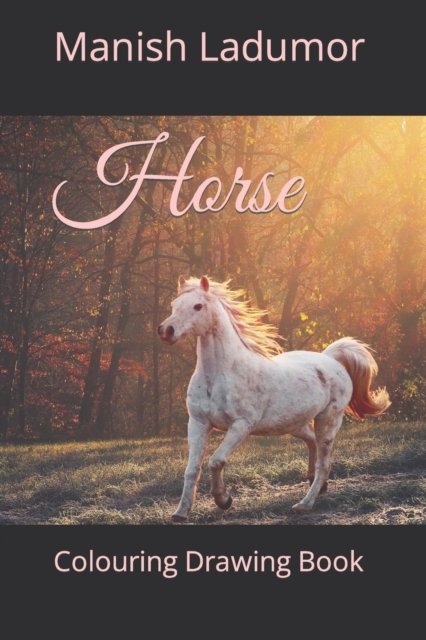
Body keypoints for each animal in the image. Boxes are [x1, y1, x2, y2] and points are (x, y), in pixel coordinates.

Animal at [157, 275, 391, 522]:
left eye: (198, 306)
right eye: (174, 304)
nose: (166, 331)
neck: (221, 374)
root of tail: (330, 359)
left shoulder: (241, 425)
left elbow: (215, 461)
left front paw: (224, 500)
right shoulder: (198, 423)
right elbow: (192, 469)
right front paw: (180, 513)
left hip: (328, 421)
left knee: (324, 463)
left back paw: (305, 504)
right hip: (295, 424)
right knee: (312, 443)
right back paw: (317, 485)